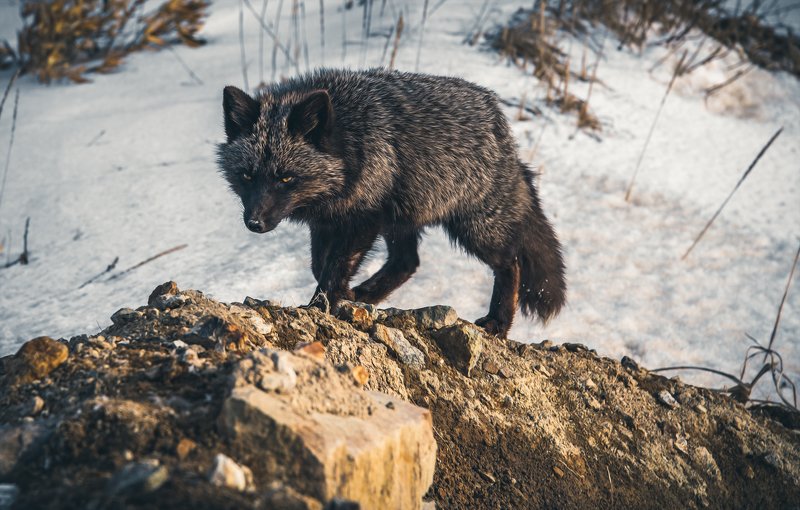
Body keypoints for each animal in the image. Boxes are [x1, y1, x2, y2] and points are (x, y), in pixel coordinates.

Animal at [216, 68, 566, 338]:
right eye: (247, 176)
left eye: (286, 178)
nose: (255, 223)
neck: (351, 140)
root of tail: (501, 124)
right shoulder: (327, 222)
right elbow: (320, 266)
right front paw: (343, 296)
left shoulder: (363, 219)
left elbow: (332, 269)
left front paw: (320, 306)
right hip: (403, 221)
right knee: (407, 262)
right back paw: (365, 295)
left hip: (474, 228)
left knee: (511, 263)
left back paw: (498, 322)